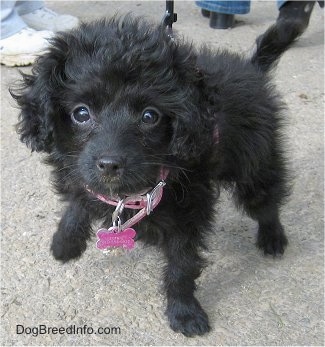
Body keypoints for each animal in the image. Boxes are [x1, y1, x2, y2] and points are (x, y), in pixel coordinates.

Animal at [12, 15, 292, 338]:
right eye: (81, 113)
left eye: (150, 116)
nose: (109, 164)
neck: (131, 194)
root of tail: (251, 68)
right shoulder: (83, 176)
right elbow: (79, 201)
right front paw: (65, 243)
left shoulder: (189, 215)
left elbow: (181, 267)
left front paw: (185, 312)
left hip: (255, 165)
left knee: (266, 201)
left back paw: (273, 238)